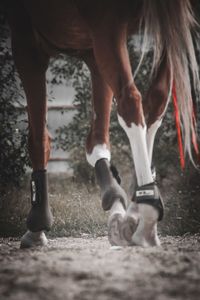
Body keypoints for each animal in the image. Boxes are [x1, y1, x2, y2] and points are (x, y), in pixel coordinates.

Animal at [5, 0, 199, 248]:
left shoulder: (27, 43)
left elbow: (39, 139)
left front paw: (37, 227)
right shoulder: (92, 51)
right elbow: (97, 141)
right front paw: (115, 198)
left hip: (108, 26)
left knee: (130, 101)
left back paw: (145, 218)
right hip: (160, 34)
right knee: (157, 100)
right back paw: (137, 208)